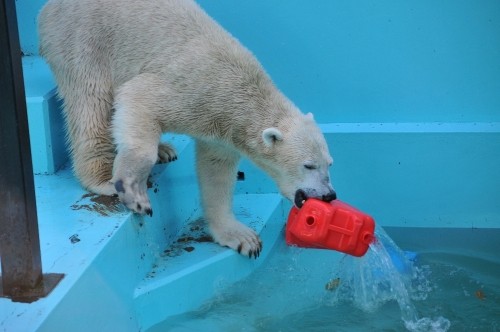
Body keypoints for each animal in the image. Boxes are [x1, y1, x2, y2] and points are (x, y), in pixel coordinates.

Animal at [39, 0, 336, 256]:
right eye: (309, 165)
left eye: (329, 164)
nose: (329, 195)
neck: (243, 92)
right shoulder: (193, 90)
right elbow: (138, 96)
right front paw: (133, 190)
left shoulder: (221, 130)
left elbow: (216, 172)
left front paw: (241, 237)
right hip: (85, 40)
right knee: (90, 101)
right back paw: (102, 177)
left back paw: (164, 149)